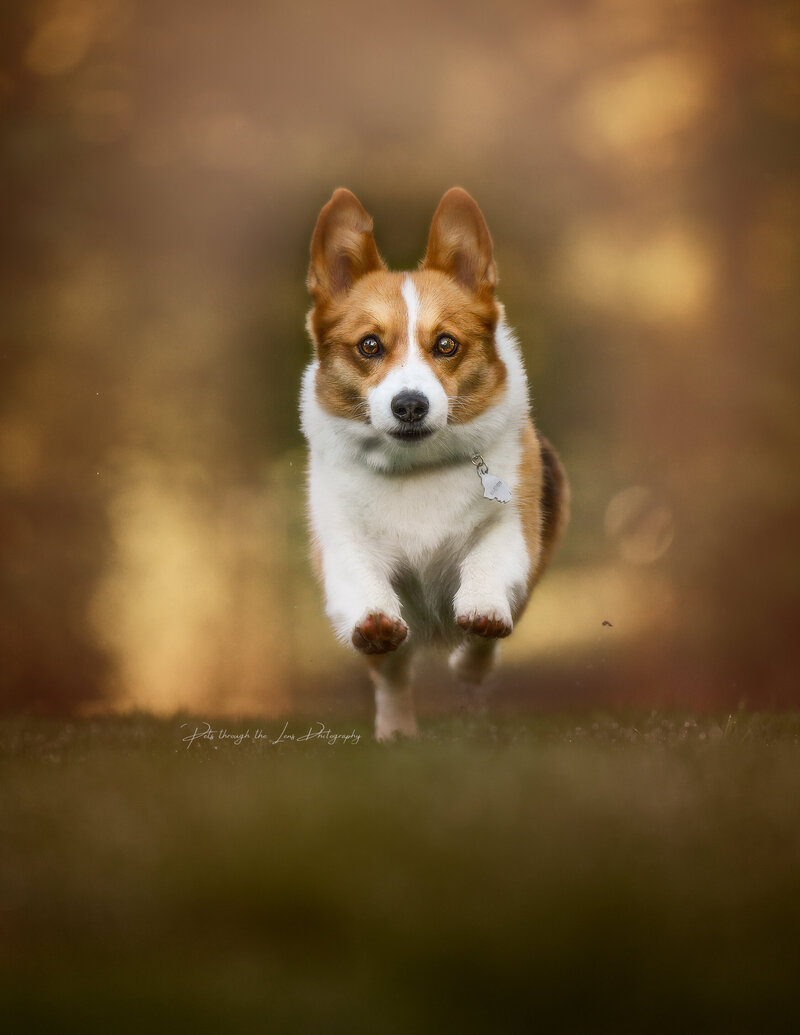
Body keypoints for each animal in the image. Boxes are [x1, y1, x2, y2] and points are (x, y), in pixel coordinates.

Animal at [300, 184, 567, 736]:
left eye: (446, 344)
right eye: (369, 345)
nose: (410, 405)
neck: (415, 465)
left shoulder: (513, 528)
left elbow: (489, 567)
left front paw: (481, 611)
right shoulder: (342, 538)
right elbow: (362, 582)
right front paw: (375, 622)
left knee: (481, 651)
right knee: (394, 673)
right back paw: (396, 730)